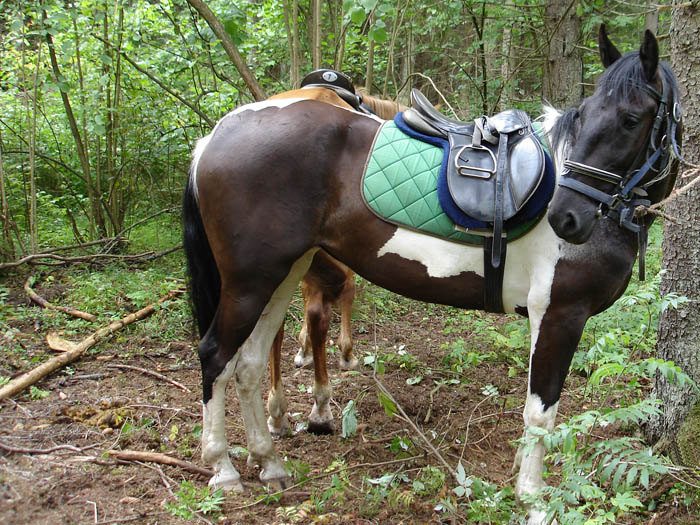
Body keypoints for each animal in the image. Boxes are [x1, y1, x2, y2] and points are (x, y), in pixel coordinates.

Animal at [264, 85, 404, 434]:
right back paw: (320, 407)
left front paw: (302, 350)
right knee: (319, 314)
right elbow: (346, 296)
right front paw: (346, 353)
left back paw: (277, 410)